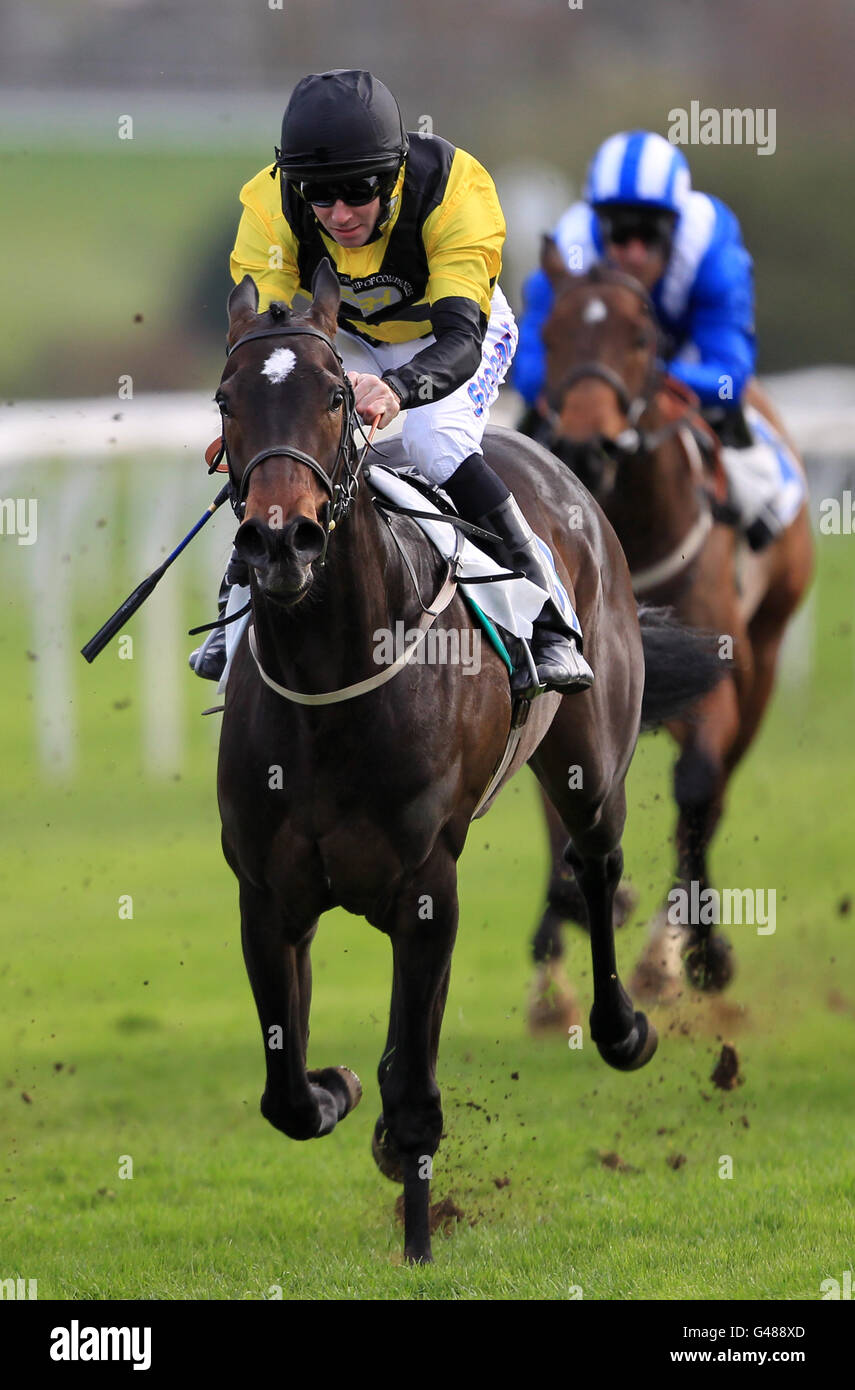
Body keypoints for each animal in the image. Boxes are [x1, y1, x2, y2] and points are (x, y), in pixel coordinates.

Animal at [214, 258, 728, 1262]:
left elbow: (416, 1090)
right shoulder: (266, 895)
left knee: (593, 867)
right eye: (225, 400)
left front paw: (418, 1239)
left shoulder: (426, 887)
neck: (335, 682)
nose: (280, 540)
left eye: (337, 397)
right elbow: (287, 1091)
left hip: (589, 763)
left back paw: (623, 1026)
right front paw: (338, 1089)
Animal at [525, 247, 811, 1023]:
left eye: (640, 337)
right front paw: (567, 936)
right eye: (550, 333)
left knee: (712, 791)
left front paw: (696, 953)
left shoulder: (717, 679)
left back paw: (672, 950)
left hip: (765, 653)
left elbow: (695, 789)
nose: (585, 445)